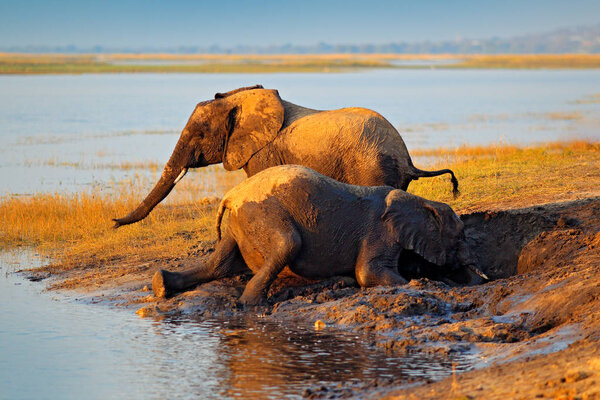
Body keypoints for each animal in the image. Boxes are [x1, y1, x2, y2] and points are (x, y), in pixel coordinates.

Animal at [113, 84, 460, 228]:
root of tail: (408, 158)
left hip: (372, 167)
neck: (240, 100)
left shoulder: (261, 153)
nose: (115, 222)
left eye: (198, 135)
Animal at [152, 164, 486, 304]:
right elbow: (368, 274)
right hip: (262, 214)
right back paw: (251, 305)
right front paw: (431, 284)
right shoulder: (380, 231)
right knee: (288, 244)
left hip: (240, 223)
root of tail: (229, 197)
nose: (479, 278)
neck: (419, 201)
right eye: (459, 237)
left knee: (217, 264)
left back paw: (161, 285)